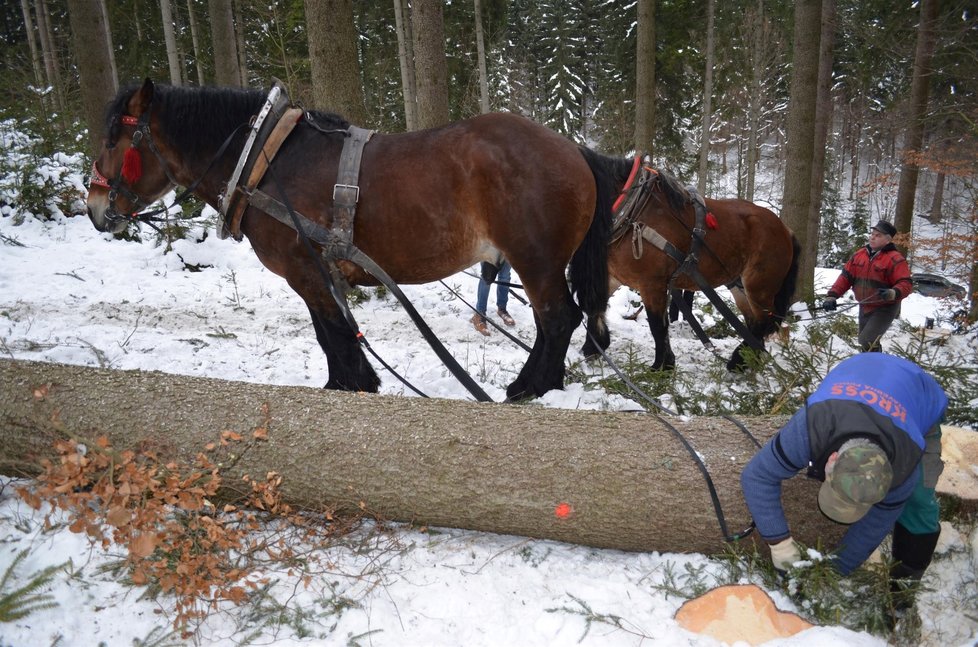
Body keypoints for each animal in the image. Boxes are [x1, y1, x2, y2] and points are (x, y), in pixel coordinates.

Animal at [87, 80, 612, 400]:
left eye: (114, 139)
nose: (93, 207)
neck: (267, 162)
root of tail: (573, 149)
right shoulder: (320, 272)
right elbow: (335, 329)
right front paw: (355, 380)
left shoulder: (306, 270)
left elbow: (332, 331)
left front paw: (350, 384)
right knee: (552, 322)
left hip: (535, 260)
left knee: (558, 319)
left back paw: (531, 387)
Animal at [580, 155, 792, 372]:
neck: (634, 212)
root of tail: (785, 229)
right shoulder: (613, 276)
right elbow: (593, 307)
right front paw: (593, 347)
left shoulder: (651, 283)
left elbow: (657, 325)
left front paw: (662, 366)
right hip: (738, 284)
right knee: (752, 323)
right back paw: (750, 360)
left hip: (759, 287)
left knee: (761, 323)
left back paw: (737, 361)